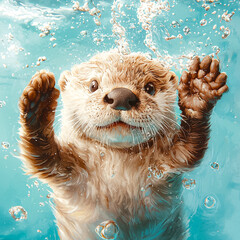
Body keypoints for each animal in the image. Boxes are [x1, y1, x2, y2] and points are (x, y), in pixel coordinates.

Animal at [18, 51, 227, 239]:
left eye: (149, 87)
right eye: (93, 85)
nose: (121, 95)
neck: (115, 168)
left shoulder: (163, 165)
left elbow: (187, 151)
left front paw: (199, 90)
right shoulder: (70, 170)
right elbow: (43, 158)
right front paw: (39, 102)